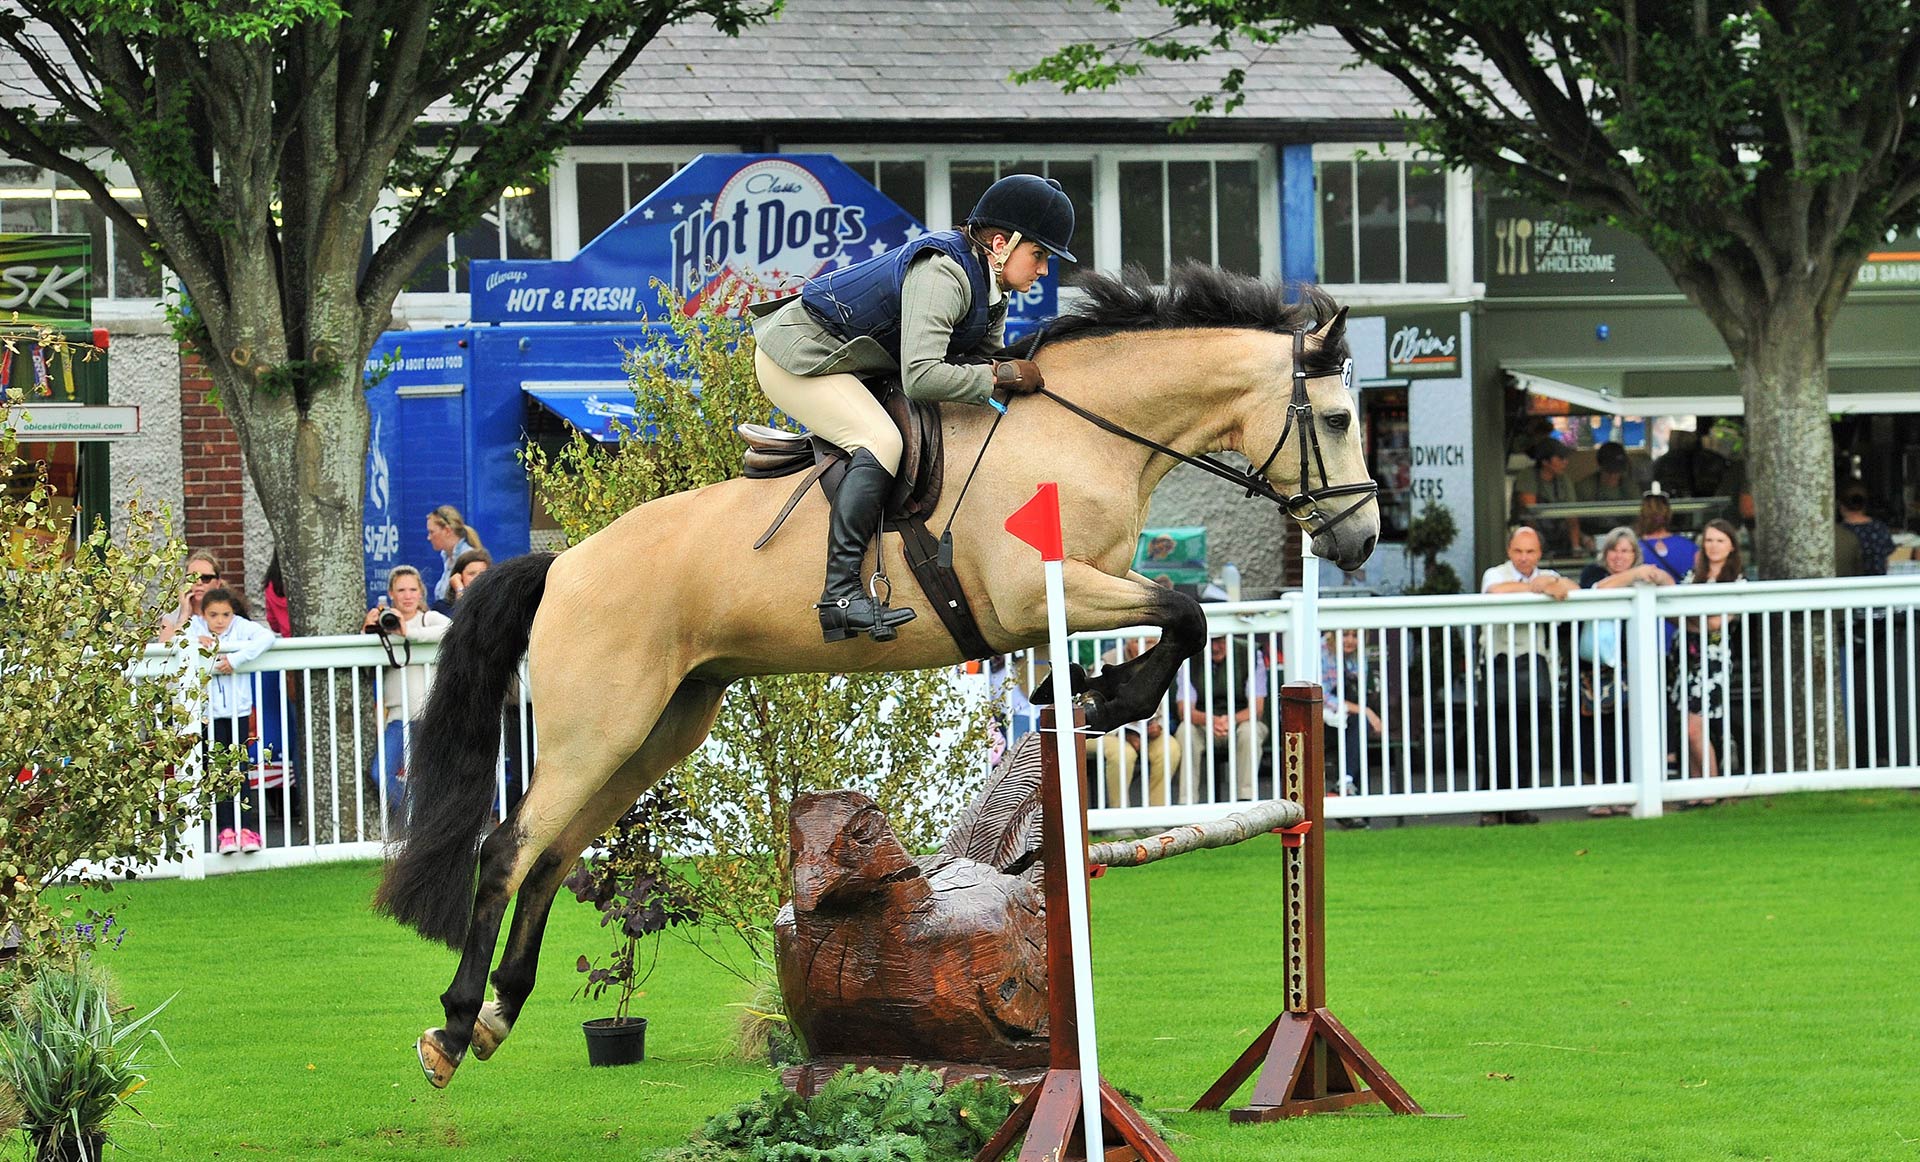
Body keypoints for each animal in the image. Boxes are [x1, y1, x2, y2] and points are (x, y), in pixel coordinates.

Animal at [374, 263, 1374, 1090]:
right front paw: (1104, 695)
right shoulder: (1041, 592)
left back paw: (498, 1014)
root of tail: (564, 564)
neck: (1079, 432)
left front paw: (1085, 694)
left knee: (555, 855)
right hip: (601, 727)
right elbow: (1184, 611)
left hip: (661, 727)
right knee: (511, 849)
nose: (1361, 540)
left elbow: (1181, 615)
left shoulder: (1074, 593)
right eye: (1336, 419)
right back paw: (452, 1030)